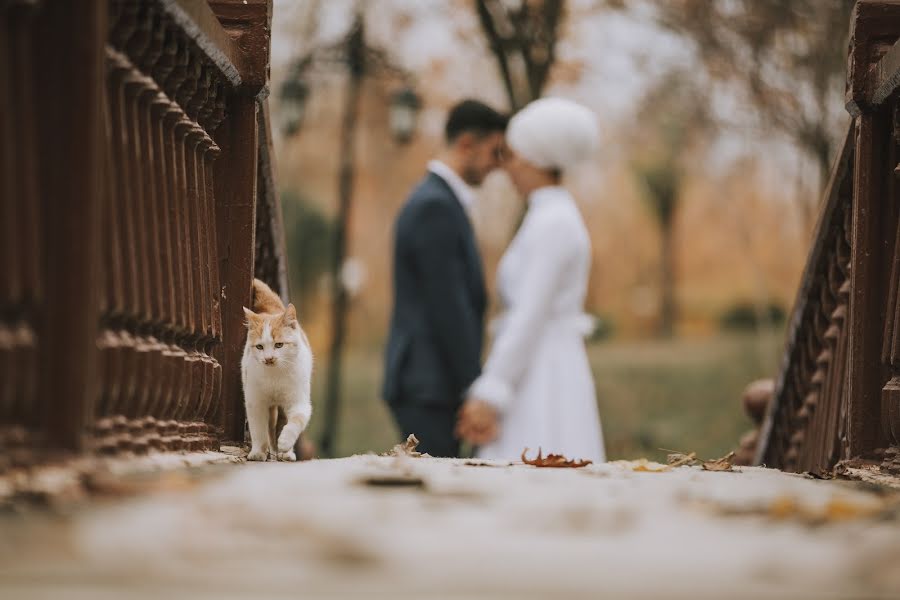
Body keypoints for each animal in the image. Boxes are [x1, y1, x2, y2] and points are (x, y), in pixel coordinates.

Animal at [241, 278, 312, 462]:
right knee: (270, 429)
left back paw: (285, 453)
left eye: (279, 345)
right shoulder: (255, 402)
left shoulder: (299, 402)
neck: (275, 376)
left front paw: (285, 443)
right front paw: (258, 452)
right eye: (259, 347)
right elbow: (258, 430)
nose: (268, 358)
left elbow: (295, 421)